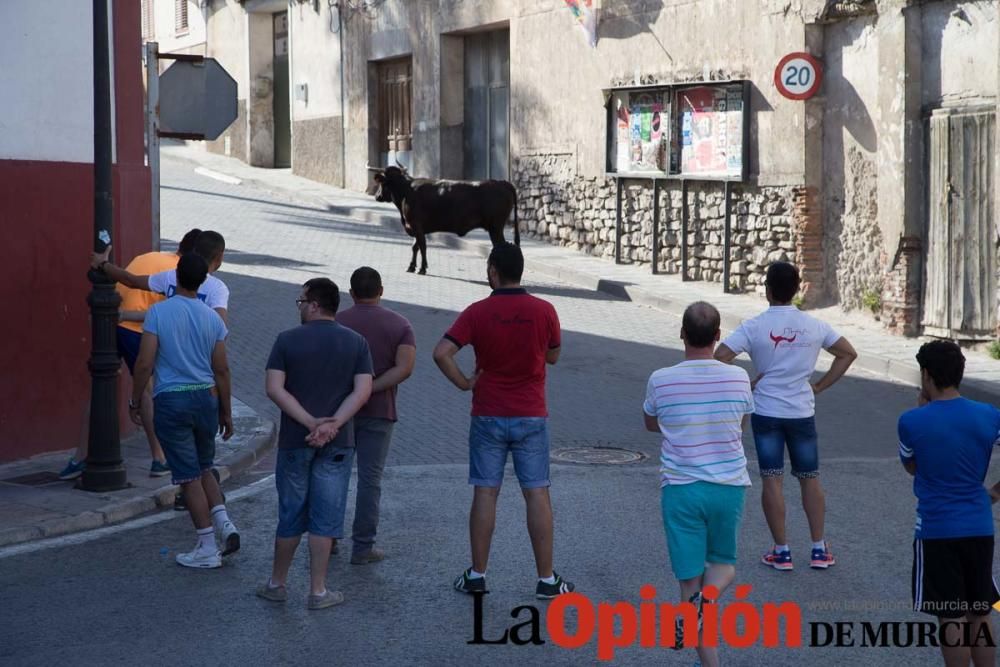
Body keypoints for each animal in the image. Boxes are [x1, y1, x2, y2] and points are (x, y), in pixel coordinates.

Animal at [370, 166, 524, 276]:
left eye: (382, 183)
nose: (377, 196)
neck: (406, 191)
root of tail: (501, 182)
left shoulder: (416, 225)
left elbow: (422, 246)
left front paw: (422, 268)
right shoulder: (417, 227)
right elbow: (415, 247)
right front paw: (411, 266)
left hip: (495, 227)